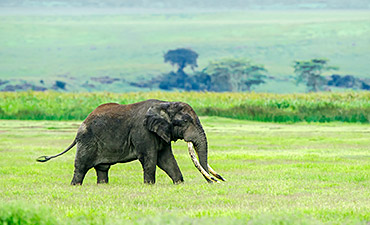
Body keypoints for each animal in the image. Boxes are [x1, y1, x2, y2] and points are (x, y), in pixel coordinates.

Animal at [36, 99, 225, 184]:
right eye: (185, 121)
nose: (216, 180)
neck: (165, 104)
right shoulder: (142, 132)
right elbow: (150, 158)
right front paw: (149, 185)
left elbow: (166, 160)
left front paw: (179, 184)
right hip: (87, 140)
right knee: (81, 166)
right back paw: (75, 186)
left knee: (102, 169)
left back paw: (102, 185)